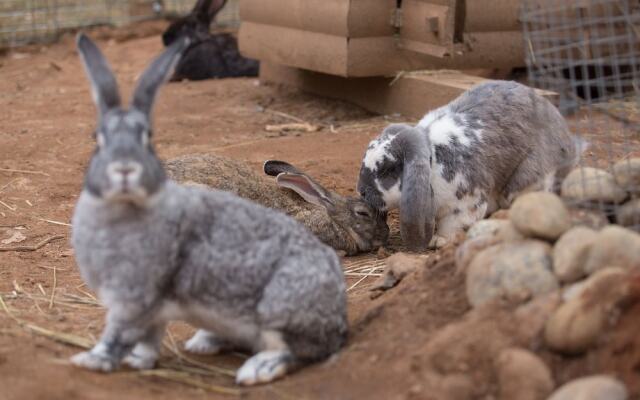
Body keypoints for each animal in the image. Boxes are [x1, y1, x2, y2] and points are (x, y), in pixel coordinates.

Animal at [69, 33, 344, 384]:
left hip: (277, 306)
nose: (124, 169)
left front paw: (92, 360)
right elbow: (148, 337)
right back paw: (204, 343)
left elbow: (119, 334)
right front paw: (139, 360)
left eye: (149, 138)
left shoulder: (135, 297)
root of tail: (340, 319)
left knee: (294, 349)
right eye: (97, 138)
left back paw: (255, 370)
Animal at [358, 80, 588, 252]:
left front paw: (439, 241)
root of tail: (569, 144)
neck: (433, 161)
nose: (361, 191)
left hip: (530, 180)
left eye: (387, 168)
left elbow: (452, 224)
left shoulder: (463, 204)